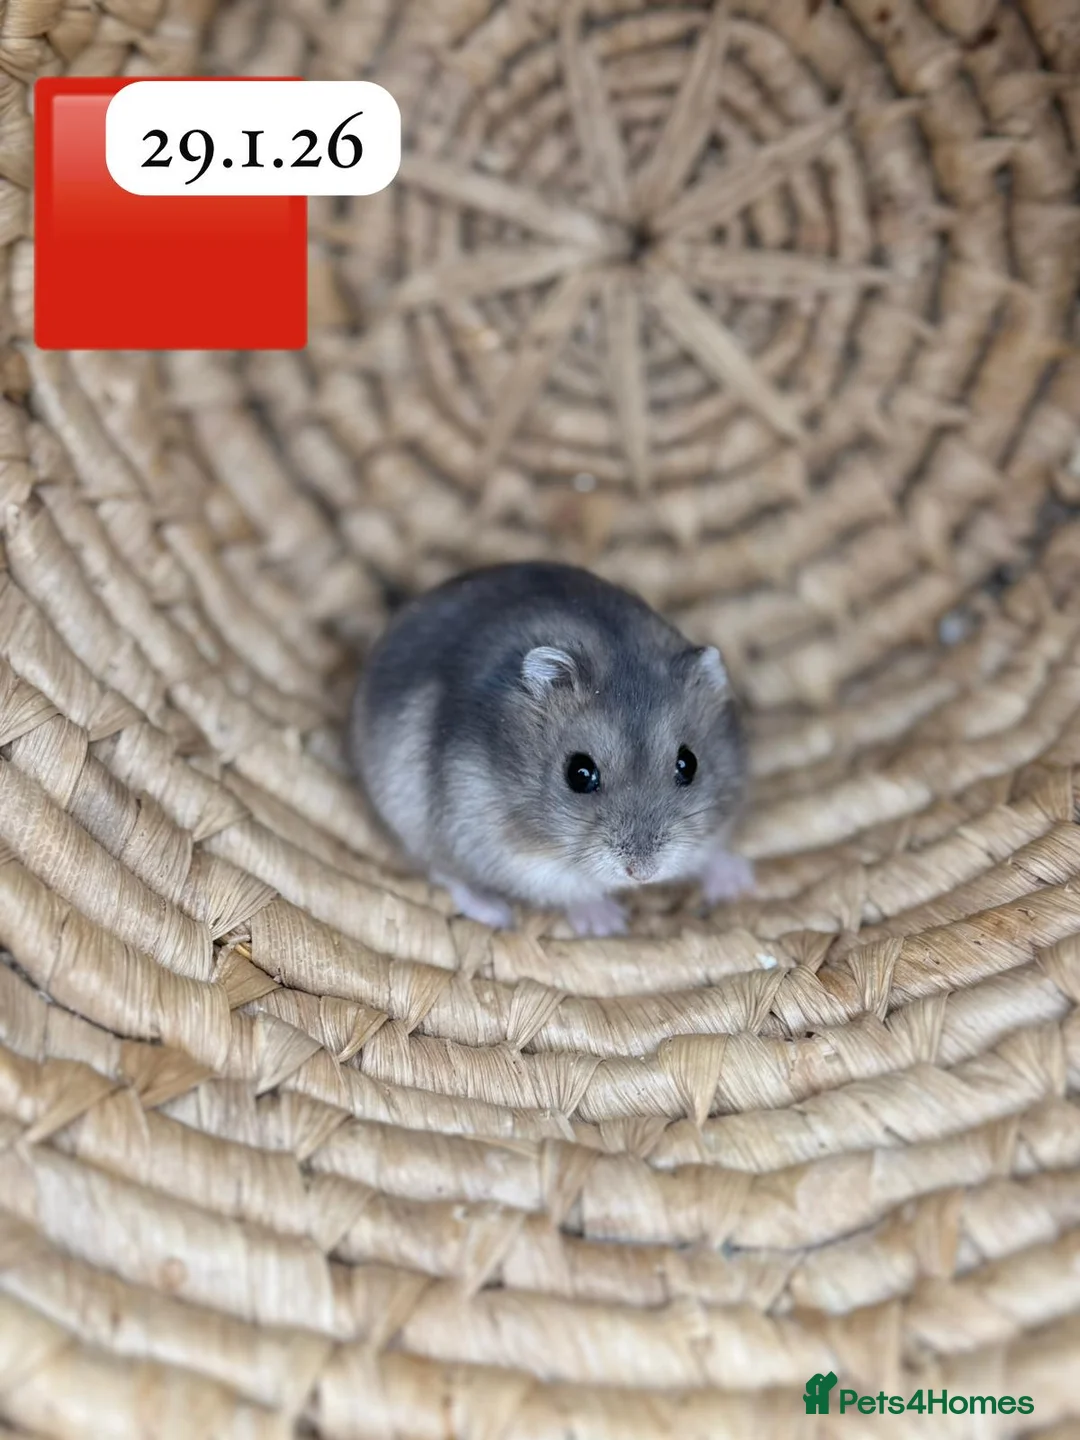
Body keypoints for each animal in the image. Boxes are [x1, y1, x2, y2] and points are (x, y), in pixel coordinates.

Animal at [348, 561, 752, 937]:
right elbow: (571, 889)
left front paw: (737, 883)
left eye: (689, 764)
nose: (643, 872)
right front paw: (608, 924)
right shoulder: (512, 855)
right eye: (579, 773)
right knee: (445, 873)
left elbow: (710, 850)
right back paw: (496, 913)